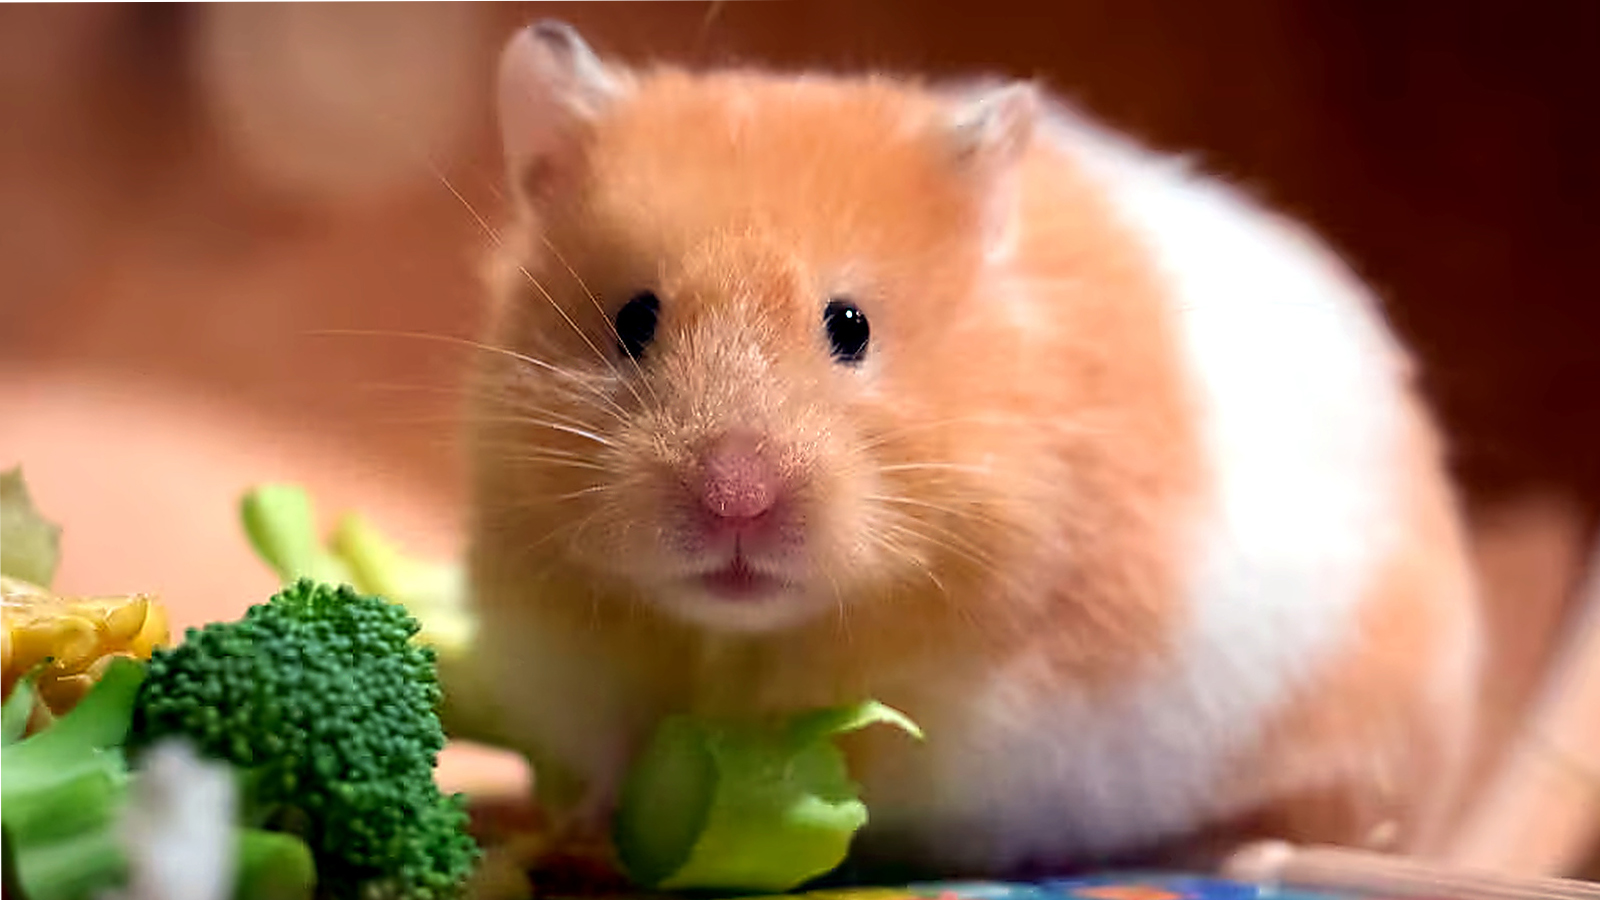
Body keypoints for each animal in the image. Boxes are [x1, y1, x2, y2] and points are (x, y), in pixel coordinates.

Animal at [464, 20, 1484, 877]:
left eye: (850, 326)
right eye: (634, 320)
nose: (736, 500)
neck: (745, 639)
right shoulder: (573, 659)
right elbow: (614, 752)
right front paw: (591, 828)